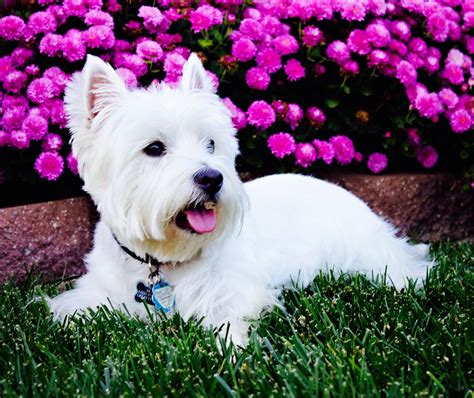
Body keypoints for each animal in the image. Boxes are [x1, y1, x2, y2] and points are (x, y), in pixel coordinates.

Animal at [49, 52, 434, 346]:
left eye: (210, 144)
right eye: (154, 148)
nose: (212, 178)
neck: (162, 261)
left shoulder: (232, 294)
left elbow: (228, 323)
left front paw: (232, 351)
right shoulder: (97, 293)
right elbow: (69, 311)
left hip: (369, 256)